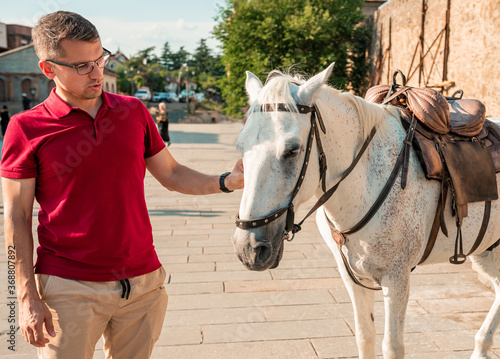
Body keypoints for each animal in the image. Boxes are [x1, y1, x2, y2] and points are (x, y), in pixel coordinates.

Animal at [232, 62, 500, 359]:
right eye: (240, 147)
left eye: (292, 150)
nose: (248, 248)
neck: (364, 183)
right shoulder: (351, 274)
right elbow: (364, 336)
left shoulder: (397, 277)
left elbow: (392, 346)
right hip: (487, 250)